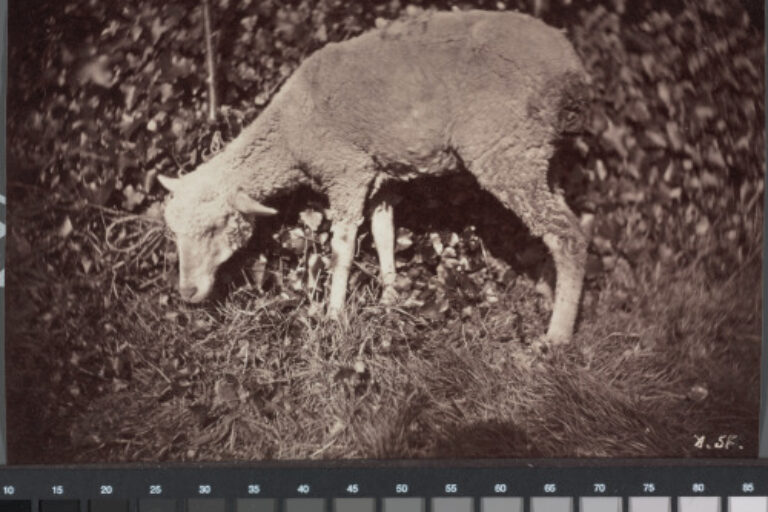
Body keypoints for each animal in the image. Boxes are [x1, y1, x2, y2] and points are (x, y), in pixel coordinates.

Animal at [158, 9, 589, 346]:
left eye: (214, 227)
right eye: (174, 233)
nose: (187, 292)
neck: (287, 136)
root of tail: (570, 63)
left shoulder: (346, 173)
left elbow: (342, 248)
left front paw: (333, 316)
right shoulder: (379, 177)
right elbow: (384, 235)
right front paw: (390, 300)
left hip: (507, 147)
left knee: (567, 235)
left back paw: (557, 336)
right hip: (539, 152)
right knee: (559, 223)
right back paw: (549, 291)